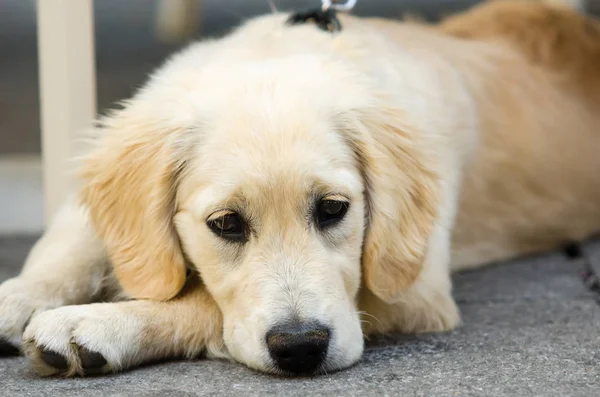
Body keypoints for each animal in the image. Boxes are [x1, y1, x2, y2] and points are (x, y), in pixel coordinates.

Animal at [1, 0, 600, 376]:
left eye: (333, 209)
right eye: (225, 224)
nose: (300, 349)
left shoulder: (415, 292)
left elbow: (203, 304)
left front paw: (94, 324)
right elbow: (68, 249)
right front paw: (18, 297)